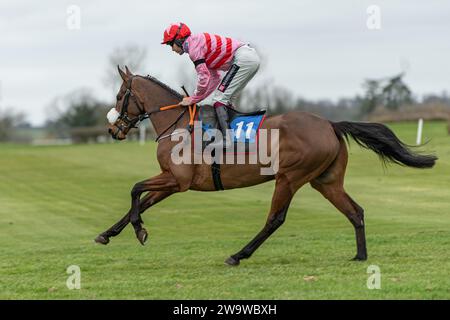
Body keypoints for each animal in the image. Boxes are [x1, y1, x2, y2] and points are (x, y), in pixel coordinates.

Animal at [95, 65, 436, 264]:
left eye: (120, 95)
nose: (113, 130)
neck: (178, 123)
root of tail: (330, 123)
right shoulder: (171, 180)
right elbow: (141, 201)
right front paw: (108, 234)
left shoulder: (177, 180)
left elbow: (134, 189)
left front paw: (139, 230)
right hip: (326, 180)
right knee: (355, 211)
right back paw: (360, 256)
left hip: (290, 177)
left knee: (275, 219)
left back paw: (238, 255)